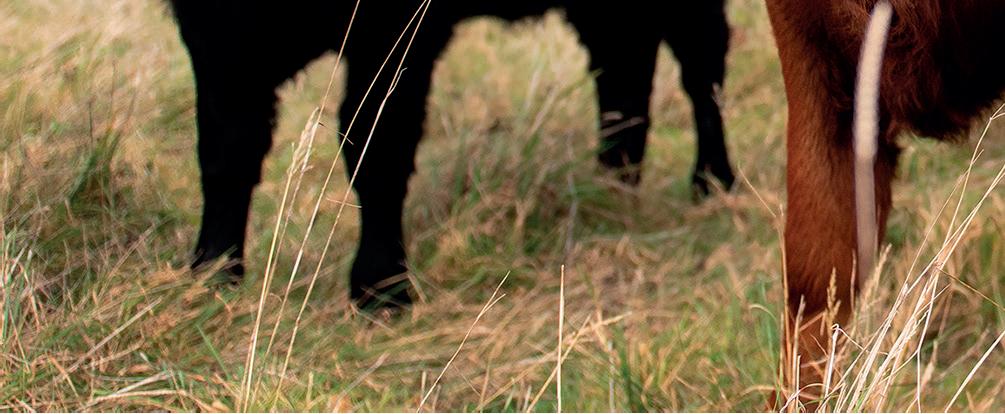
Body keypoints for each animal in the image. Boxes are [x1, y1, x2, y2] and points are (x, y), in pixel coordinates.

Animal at [168, 0, 736, 310]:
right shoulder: (217, 36)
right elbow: (225, 152)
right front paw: (213, 273)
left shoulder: (397, 28)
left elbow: (376, 149)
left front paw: (382, 288)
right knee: (624, 70)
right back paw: (612, 185)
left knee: (700, 67)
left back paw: (713, 181)